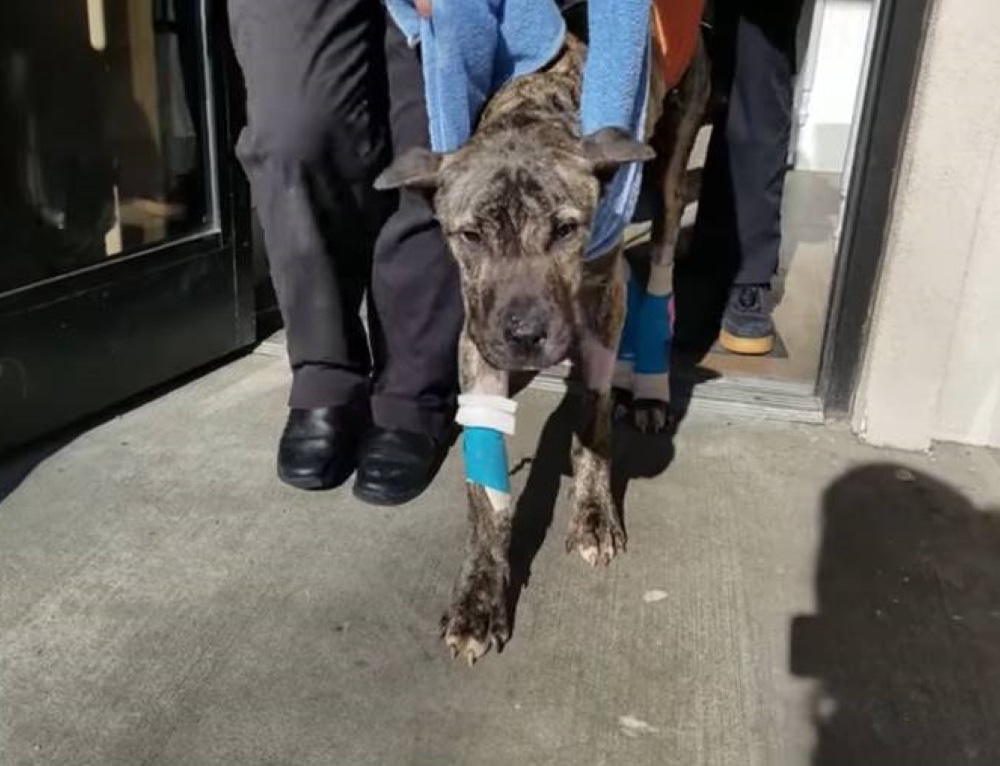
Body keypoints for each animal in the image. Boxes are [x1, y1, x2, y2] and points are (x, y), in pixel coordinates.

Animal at [376, 31, 712, 664]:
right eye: (471, 235)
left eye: (564, 229)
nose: (527, 336)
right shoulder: (478, 338)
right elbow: (485, 492)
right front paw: (479, 595)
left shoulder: (601, 302)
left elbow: (593, 420)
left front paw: (594, 514)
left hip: (673, 163)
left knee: (659, 258)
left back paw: (648, 389)